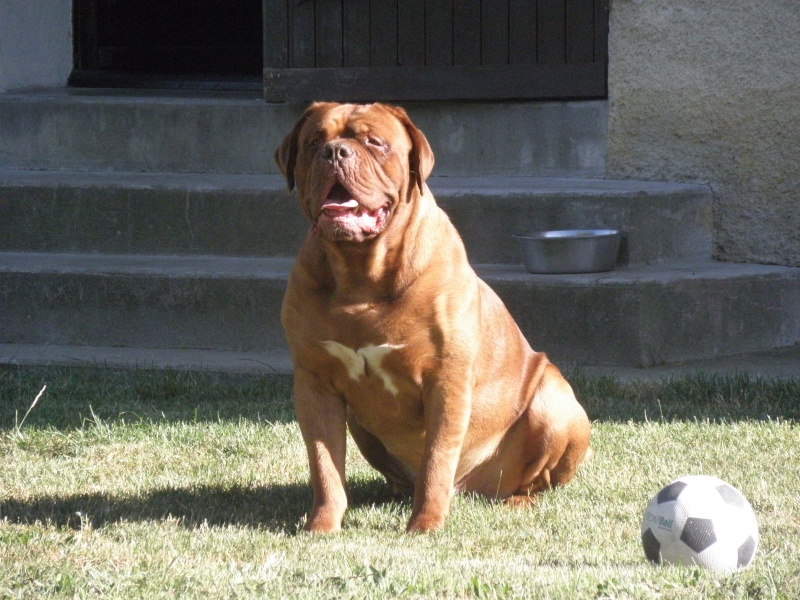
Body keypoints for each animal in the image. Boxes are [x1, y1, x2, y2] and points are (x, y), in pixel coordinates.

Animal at [278, 103, 592, 536]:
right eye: (313, 142)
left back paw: (517, 501)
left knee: (534, 479)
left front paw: (425, 525)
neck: (360, 273)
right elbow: (325, 465)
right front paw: (322, 525)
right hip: (358, 423)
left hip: (557, 403)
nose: (335, 152)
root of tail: (474, 488)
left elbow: (437, 458)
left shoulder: (446, 379)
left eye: (375, 142)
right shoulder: (314, 382)